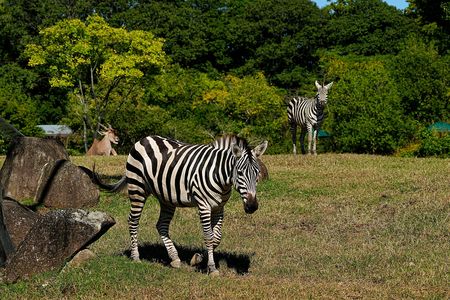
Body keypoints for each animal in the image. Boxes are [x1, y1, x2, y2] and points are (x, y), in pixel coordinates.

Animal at [92, 135, 266, 276]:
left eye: (257, 173)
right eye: (240, 173)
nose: (252, 206)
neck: (219, 175)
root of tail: (144, 138)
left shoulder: (219, 208)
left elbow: (216, 238)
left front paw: (197, 258)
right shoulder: (204, 206)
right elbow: (209, 237)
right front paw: (211, 268)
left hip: (166, 197)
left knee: (161, 225)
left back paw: (175, 258)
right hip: (137, 188)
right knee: (133, 221)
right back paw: (136, 257)